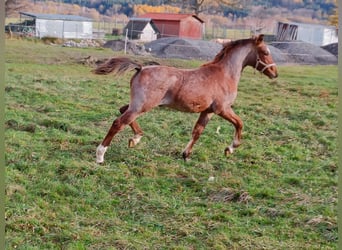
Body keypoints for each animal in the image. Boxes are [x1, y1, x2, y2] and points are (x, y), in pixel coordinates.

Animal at [93, 34, 278, 164]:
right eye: (265, 52)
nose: (274, 73)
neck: (224, 74)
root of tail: (141, 68)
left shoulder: (208, 111)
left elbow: (197, 131)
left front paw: (185, 154)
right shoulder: (222, 109)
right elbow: (239, 123)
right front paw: (230, 149)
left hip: (139, 105)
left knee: (122, 110)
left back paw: (135, 138)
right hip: (142, 106)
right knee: (119, 122)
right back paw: (100, 155)